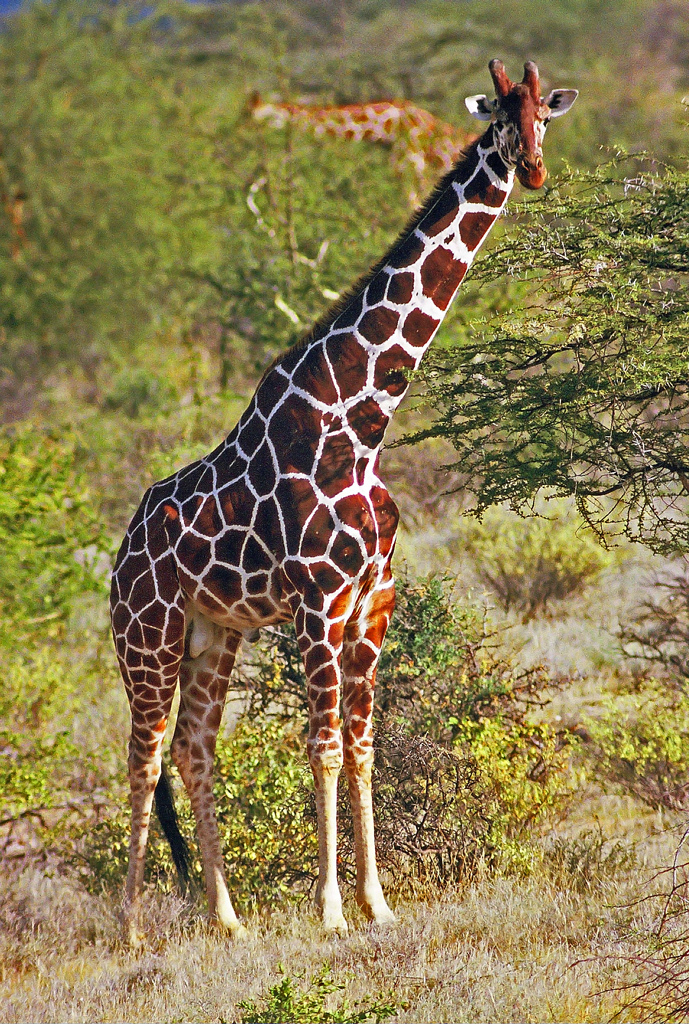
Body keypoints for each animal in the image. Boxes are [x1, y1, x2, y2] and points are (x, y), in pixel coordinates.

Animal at [111, 58, 573, 942]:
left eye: (544, 114)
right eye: (501, 115)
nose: (531, 168)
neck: (360, 418)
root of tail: (116, 559)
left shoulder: (372, 596)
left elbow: (362, 746)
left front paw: (376, 903)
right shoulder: (319, 599)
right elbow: (320, 745)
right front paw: (329, 912)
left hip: (213, 632)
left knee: (192, 747)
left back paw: (227, 920)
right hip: (146, 634)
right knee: (143, 753)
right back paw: (130, 930)